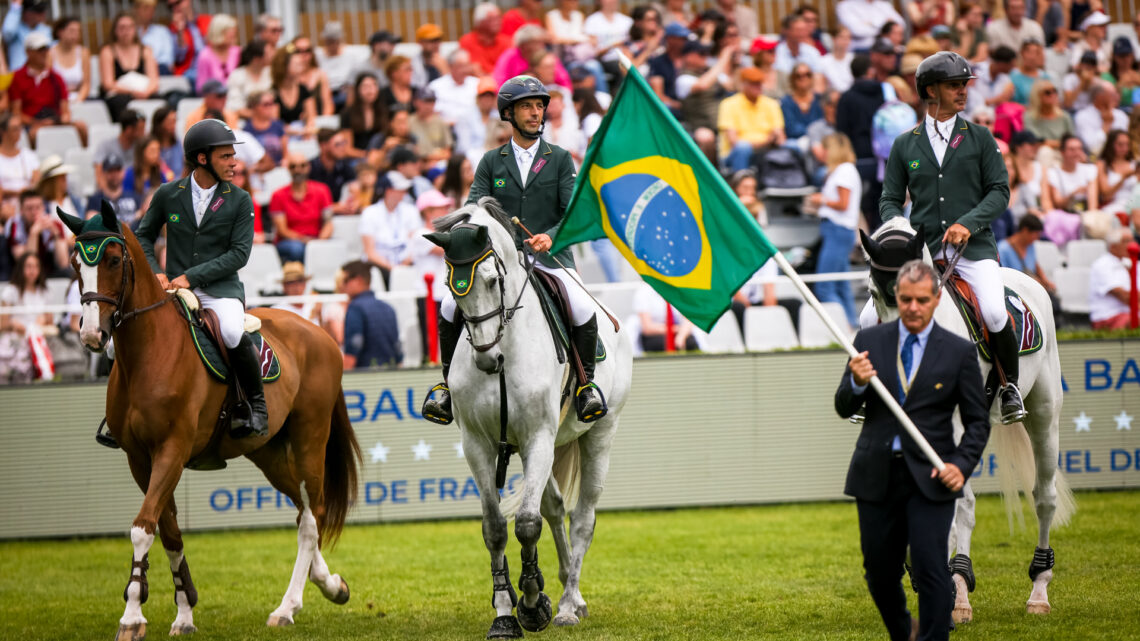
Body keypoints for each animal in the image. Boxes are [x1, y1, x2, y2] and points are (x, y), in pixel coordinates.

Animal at [58, 200, 360, 638]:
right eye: (74, 264)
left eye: (114, 260)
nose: (92, 336)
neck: (149, 351)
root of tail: (318, 332)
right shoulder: (139, 458)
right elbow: (168, 531)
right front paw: (184, 612)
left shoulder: (172, 449)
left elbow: (142, 527)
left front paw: (132, 616)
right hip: (267, 452)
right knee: (307, 513)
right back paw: (331, 584)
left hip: (309, 440)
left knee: (311, 517)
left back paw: (287, 607)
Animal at [424, 198, 633, 634]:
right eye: (453, 286)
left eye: (492, 281)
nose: (486, 359)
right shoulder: (478, 443)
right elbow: (496, 528)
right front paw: (506, 613)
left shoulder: (538, 435)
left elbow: (526, 524)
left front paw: (534, 604)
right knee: (554, 507)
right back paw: (568, 590)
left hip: (600, 433)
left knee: (582, 518)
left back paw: (569, 604)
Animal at [861, 215, 1076, 620]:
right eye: (874, 292)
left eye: (920, 294)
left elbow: (959, 506)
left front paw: (957, 593)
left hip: (1044, 414)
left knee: (1044, 497)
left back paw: (1039, 590)